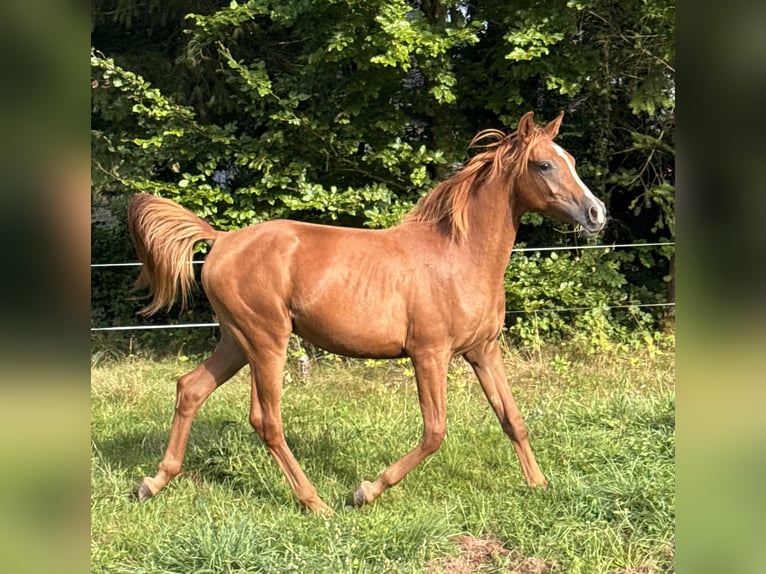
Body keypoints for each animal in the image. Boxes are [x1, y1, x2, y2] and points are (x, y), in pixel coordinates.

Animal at [127, 111, 607, 513]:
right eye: (543, 165)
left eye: (570, 159)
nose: (597, 212)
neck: (459, 255)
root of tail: (222, 239)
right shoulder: (429, 354)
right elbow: (435, 432)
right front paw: (365, 491)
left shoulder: (483, 351)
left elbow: (513, 419)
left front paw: (539, 486)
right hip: (266, 341)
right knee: (266, 419)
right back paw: (316, 503)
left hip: (237, 341)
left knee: (190, 388)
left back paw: (152, 483)